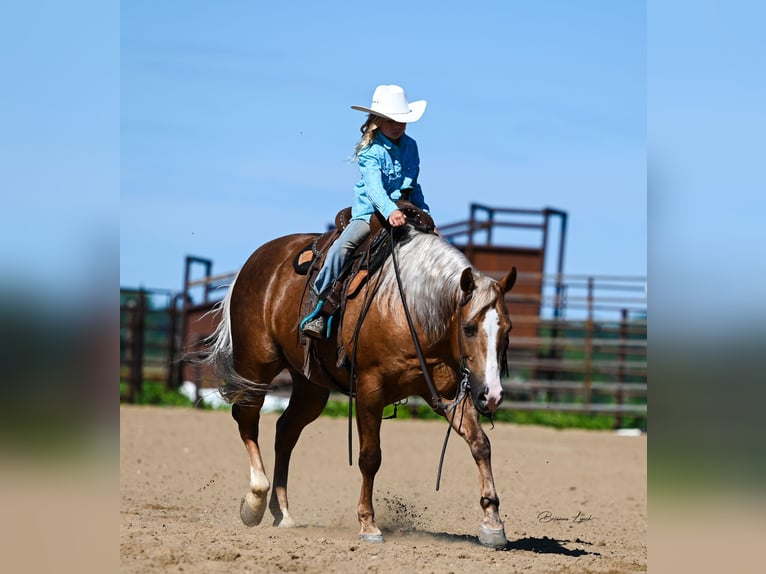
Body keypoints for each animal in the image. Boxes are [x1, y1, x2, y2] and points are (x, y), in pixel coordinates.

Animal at [201, 220, 520, 548]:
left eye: (507, 330)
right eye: (468, 328)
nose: (492, 395)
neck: (409, 307)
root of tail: (253, 263)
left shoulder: (446, 394)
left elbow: (480, 444)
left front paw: (492, 522)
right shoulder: (370, 389)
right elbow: (370, 457)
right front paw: (368, 523)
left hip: (310, 387)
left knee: (285, 431)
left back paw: (283, 513)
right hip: (256, 367)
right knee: (247, 420)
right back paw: (255, 500)